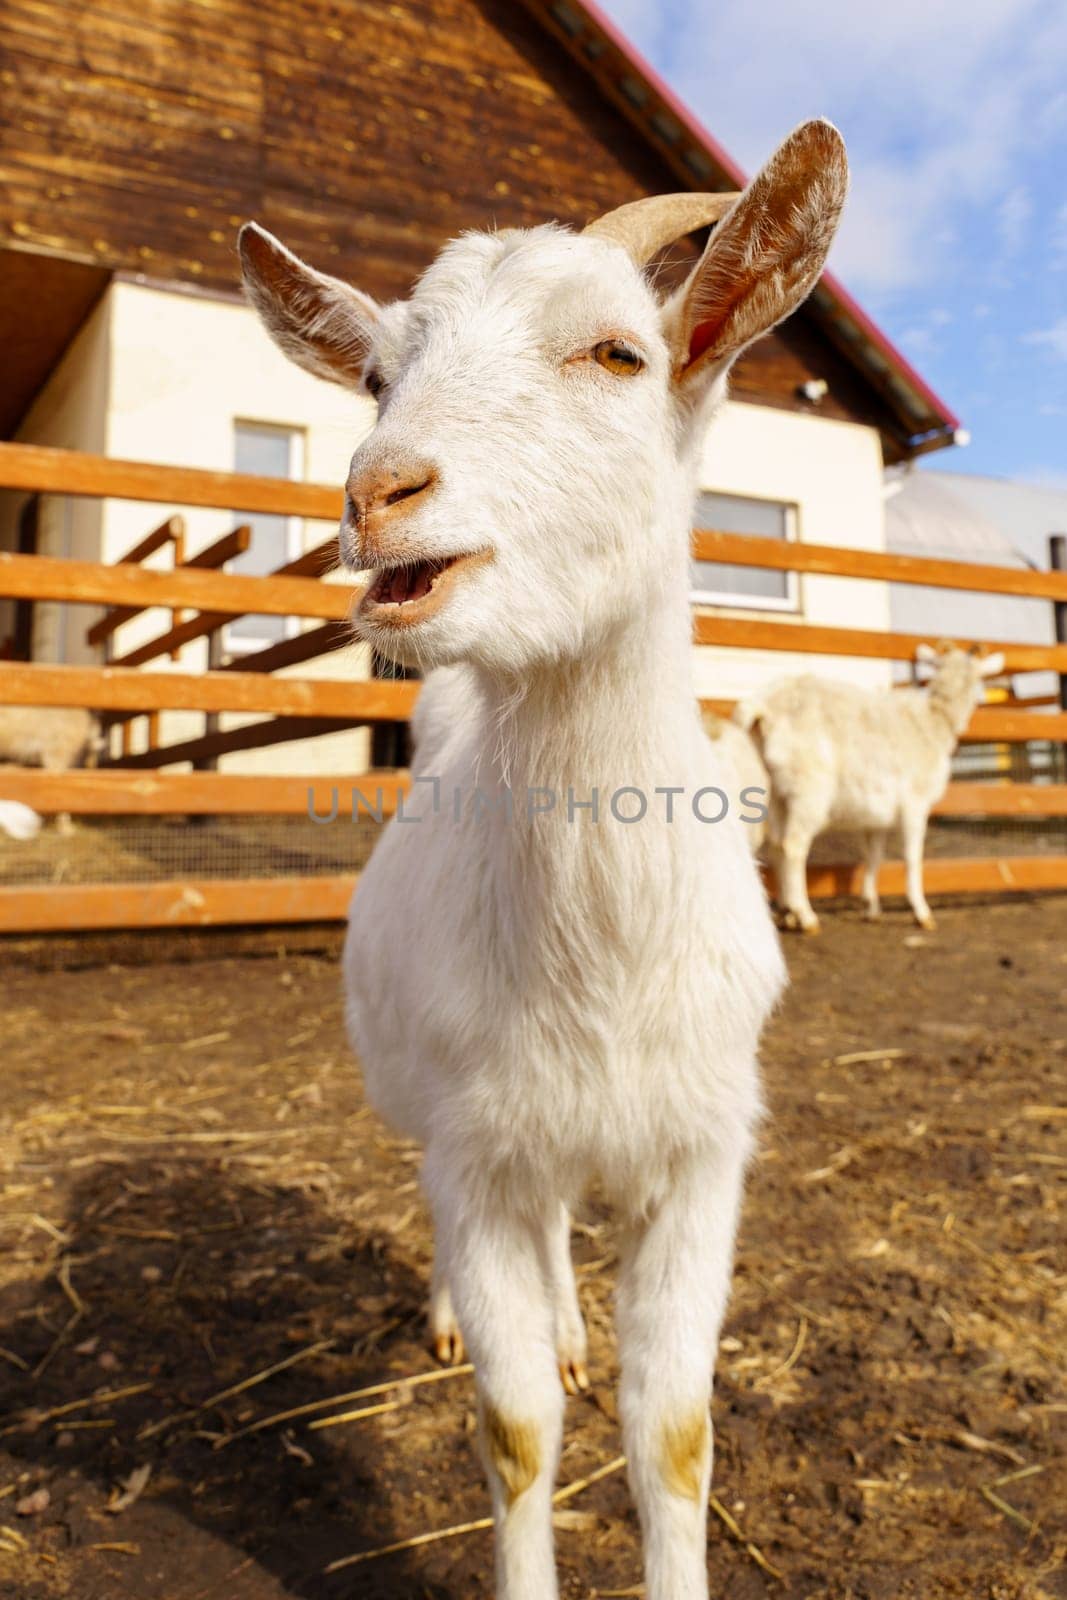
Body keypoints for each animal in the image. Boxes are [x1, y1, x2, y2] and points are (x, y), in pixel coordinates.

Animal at [238, 121, 844, 1600]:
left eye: (616, 354)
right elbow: (514, 1435)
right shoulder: (478, 1150)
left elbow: (674, 1431)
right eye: (377, 376)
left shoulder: (700, 1152)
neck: (603, 955)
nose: (376, 491)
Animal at [739, 640, 1004, 934]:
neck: (933, 723)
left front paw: (871, 907)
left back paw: (787, 914)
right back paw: (806, 917)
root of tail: (764, 707)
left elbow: (874, 855)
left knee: (775, 845)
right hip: (807, 786)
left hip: (772, 791)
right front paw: (922, 913)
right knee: (792, 845)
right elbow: (912, 856)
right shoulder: (915, 802)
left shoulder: (876, 816)